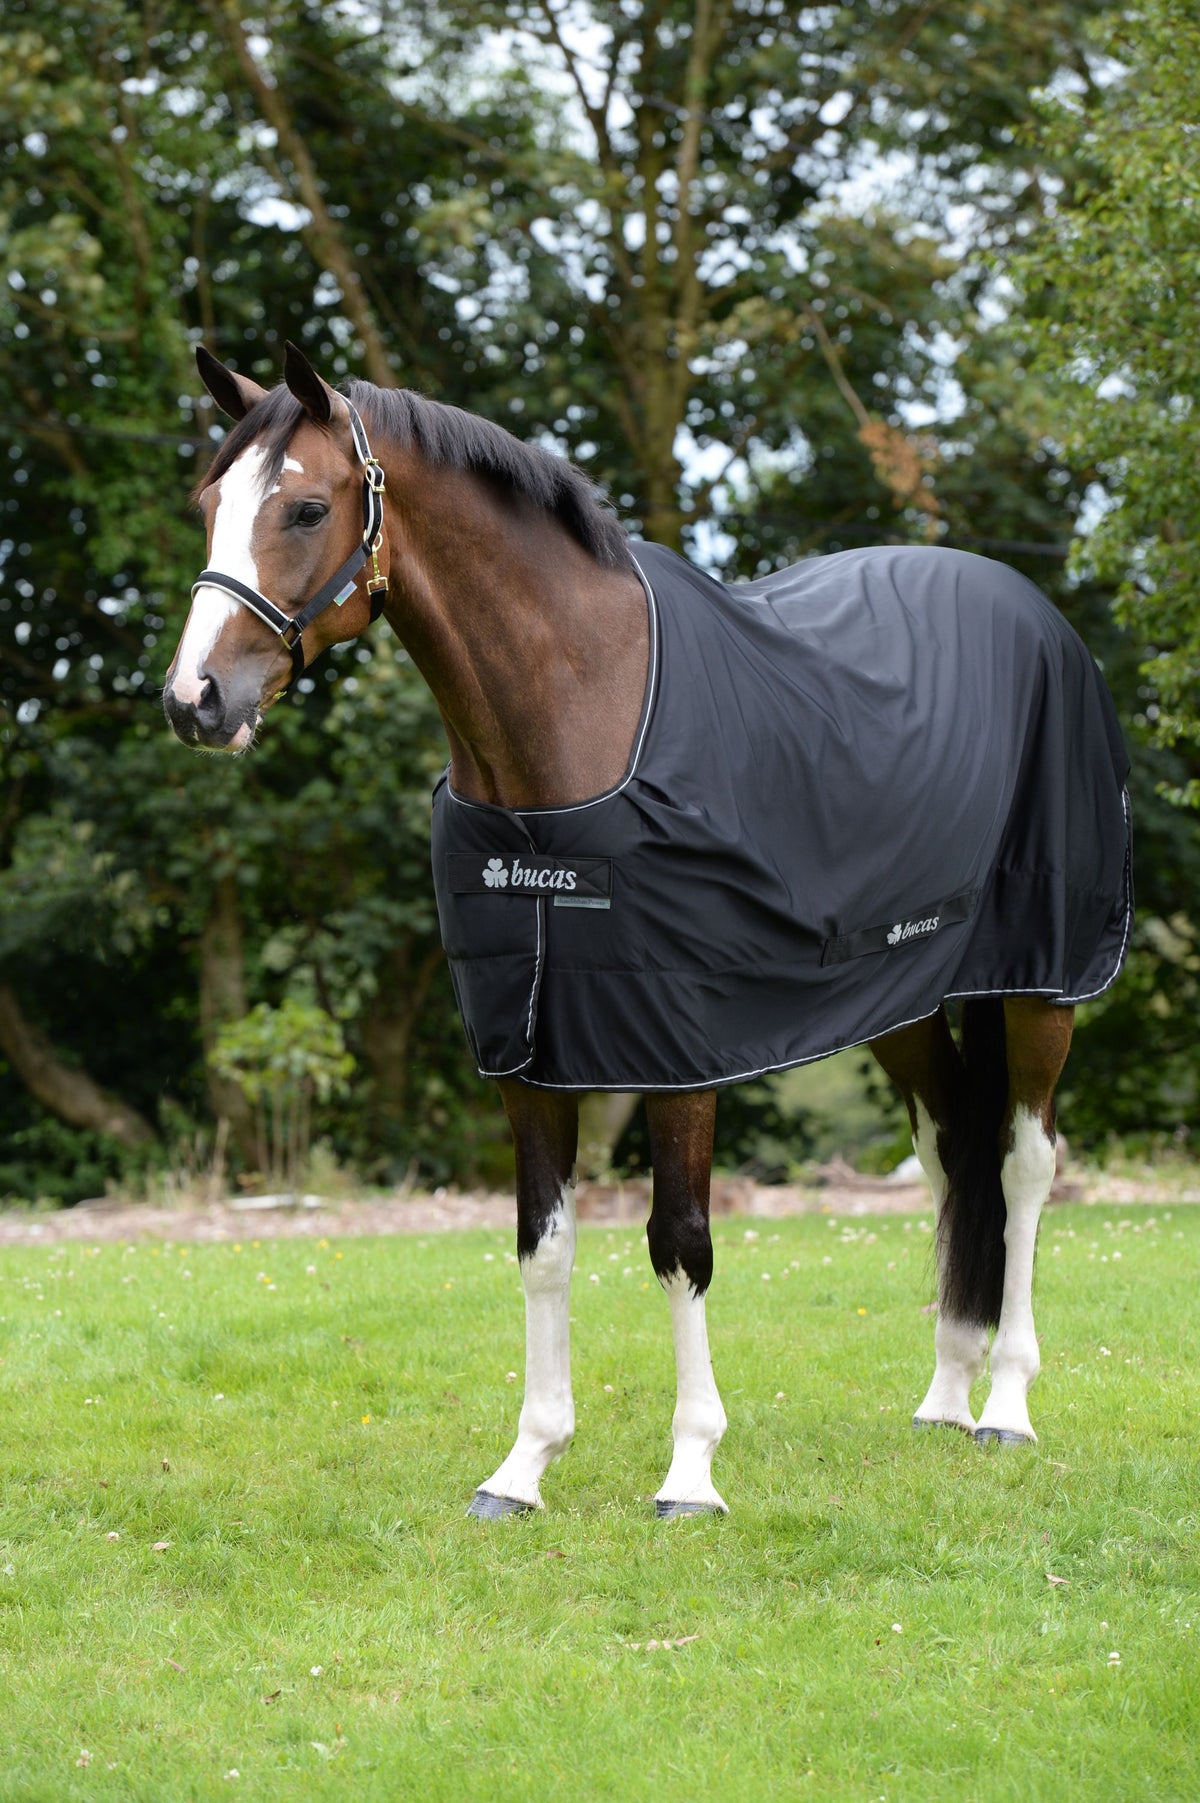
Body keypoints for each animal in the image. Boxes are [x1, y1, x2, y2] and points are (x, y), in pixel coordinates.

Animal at [163, 342, 1132, 1519]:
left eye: (305, 507)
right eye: (207, 504)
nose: (195, 699)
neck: (576, 719)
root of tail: (1039, 617)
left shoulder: (680, 1048)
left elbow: (680, 1244)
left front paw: (691, 1471)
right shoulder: (525, 1048)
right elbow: (542, 1247)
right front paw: (523, 1466)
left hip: (1043, 981)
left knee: (1027, 1162)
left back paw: (1005, 1406)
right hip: (893, 995)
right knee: (953, 1152)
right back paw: (946, 1393)